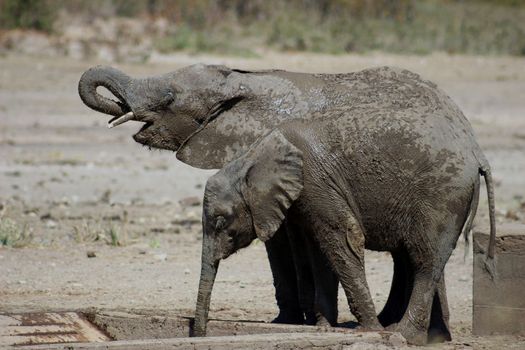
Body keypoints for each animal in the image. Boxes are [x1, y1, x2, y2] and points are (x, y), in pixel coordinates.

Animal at [193, 113, 496, 344]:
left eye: (220, 221)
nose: (202, 334)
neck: (251, 157)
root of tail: (478, 156)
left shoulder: (317, 181)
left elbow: (345, 238)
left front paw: (370, 330)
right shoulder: (308, 196)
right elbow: (320, 252)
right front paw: (325, 328)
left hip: (442, 198)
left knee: (424, 261)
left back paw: (403, 335)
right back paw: (430, 337)